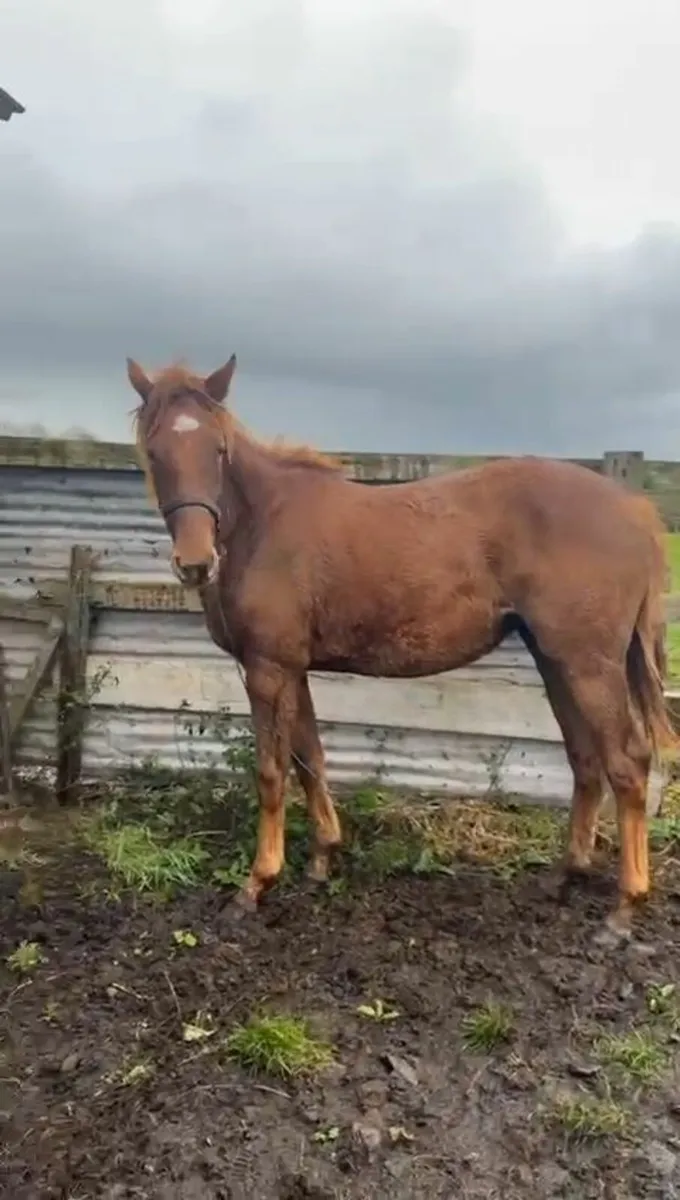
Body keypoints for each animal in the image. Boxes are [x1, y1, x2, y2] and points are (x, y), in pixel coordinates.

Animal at [127, 353, 675, 944]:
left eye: (218, 449)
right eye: (155, 451)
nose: (195, 563)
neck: (262, 523)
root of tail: (636, 510)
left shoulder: (268, 669)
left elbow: (272, 772)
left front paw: (255, 885)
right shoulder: (295, 669)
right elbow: (309, 758)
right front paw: (322, 859)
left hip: (588, 664)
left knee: (627, 763)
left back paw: (623, 909)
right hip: (555, 660)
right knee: (584, 758)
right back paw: (564, 877)